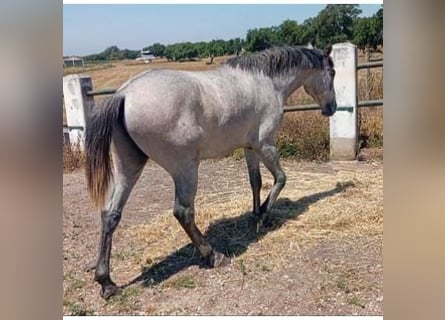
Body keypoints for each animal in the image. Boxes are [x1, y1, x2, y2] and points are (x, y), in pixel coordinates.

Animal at [85, 43, 334, 298]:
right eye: (332, 73)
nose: (331, 108)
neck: (264, 82)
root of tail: (125, 94)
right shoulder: (265, 144)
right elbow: (281, 179)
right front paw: (264, 215)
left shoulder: (249, 147)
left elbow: (255, 181)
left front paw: (255, 214)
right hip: (185, 169)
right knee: (183, 212)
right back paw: (214, 256)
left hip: (129, 166)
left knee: (111, 213)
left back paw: (106, 282)